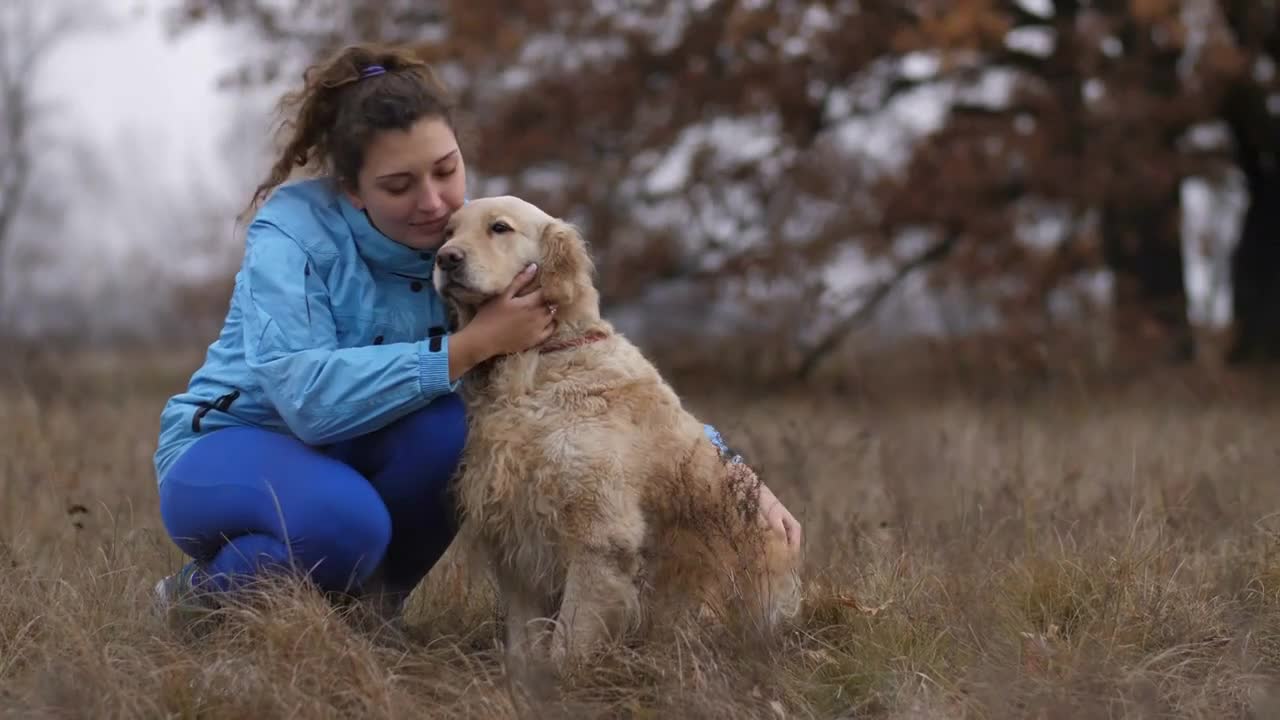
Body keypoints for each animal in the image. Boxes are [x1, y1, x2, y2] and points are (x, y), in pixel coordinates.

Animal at [435, 196, 793, 666]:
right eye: (448, 231)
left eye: (499, 228)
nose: (445, 258)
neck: (539, 362)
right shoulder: (517, 538)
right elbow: (525, 640)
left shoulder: (601, 536)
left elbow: (568, 640)